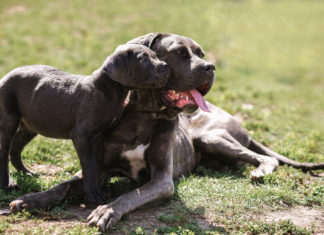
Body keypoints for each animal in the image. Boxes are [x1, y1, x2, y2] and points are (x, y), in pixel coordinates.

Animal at [0, 43, 171, 204]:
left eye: (155, 56)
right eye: (143, 60)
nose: (166, 66)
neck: (109, 91)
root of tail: (6, 75)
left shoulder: (98, 136)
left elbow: (95, 166)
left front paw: (97, 191)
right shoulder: (81, 135)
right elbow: (89, 165)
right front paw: (94, 196)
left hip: (30, 125)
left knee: (15, 148)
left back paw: (26, 173)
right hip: (9, 120)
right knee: (4, 152)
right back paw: (7, 184)